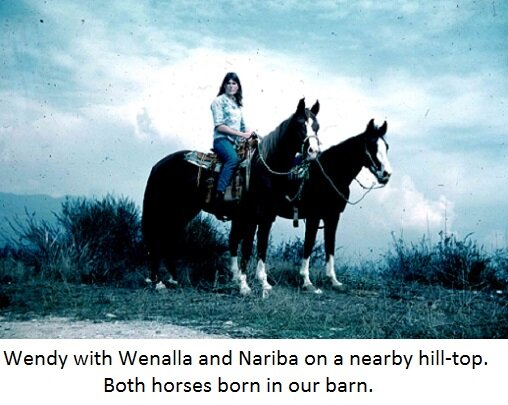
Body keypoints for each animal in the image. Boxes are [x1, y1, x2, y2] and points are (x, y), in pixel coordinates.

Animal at [142, 98, 320, 291]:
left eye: (316, 126)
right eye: (300, 125)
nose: (313, 152)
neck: (262, 170)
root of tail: (159, 165)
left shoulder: (266, 219)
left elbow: (262, 248)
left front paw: (264, 283)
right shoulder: (250, 219)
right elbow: (247, 249)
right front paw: (244, 286)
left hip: (184, 211)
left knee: (169, 238)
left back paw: (172, 279)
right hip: (168, 209)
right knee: (158, 238)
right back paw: (157, 282)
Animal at [277, 118, 392, 293]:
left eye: (386, 147)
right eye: (371, 146)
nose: (386, 174)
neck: (330, 174)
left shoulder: (333, 216)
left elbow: (330, 245)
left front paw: (334, 281)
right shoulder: (314, 217)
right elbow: (308, 245)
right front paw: (306, 282)